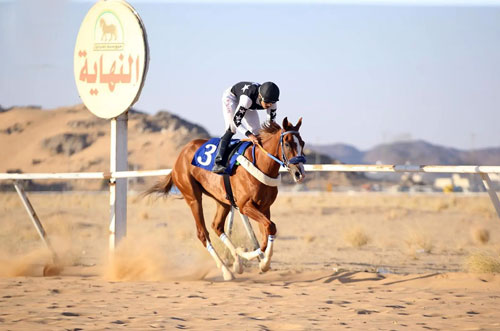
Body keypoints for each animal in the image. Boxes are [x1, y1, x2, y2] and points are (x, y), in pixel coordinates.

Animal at [145, 116, 306, 280]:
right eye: (287, 143)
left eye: (302, 143)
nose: (299, 173)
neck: (261, 164)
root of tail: (178, 159)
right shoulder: (245, 206)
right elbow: (269, 228)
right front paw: (250, 256)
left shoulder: (264, 207)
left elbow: (267, 231)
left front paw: (263, 263)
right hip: (193, 197)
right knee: (203, 233)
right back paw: (226, 271)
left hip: (222, 201)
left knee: (217, 226)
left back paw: (237, 263)